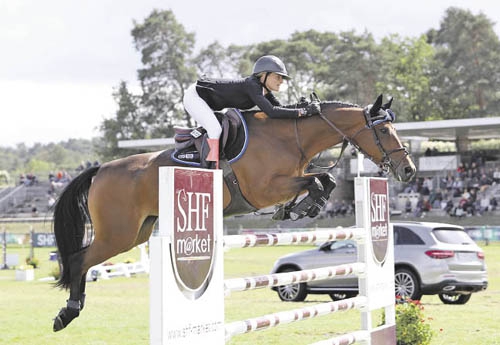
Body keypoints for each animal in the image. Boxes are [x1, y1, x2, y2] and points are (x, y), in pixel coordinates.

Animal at [52, 94, 416, 330]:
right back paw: (67, 314)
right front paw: (300, 208)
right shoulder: (263, 190)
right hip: (118, 234)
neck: (291, 136)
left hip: (136, 232)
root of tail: (101, 169)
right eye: (384, 131)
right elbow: (318, 180)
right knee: (79, 260)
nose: (409, 170)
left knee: (86, 260)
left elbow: (323, 180)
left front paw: (299, 208)